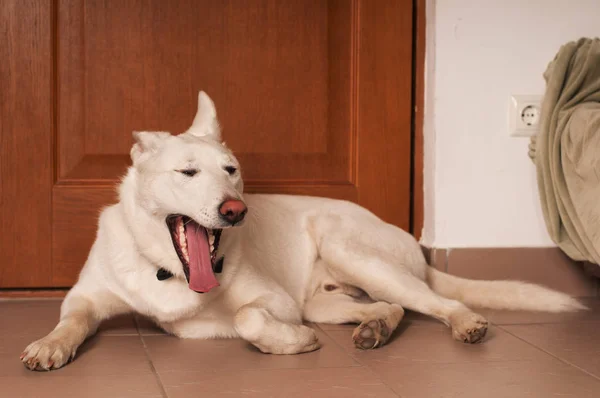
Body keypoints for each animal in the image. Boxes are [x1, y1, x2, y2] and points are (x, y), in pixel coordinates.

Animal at [21, 91, 584, 370]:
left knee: (438, 302)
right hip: (327, 300)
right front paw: (49, 346)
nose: (235, 211)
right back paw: (376, 328)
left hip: (350, 252)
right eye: (187, 172)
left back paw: (466, 324)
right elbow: (70, 321)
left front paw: (293, 344)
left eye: (231, 170)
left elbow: (247, 317)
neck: (166, 269)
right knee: (392, 307)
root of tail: (413, 244)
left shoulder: (275, 301)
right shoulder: (85, 298)